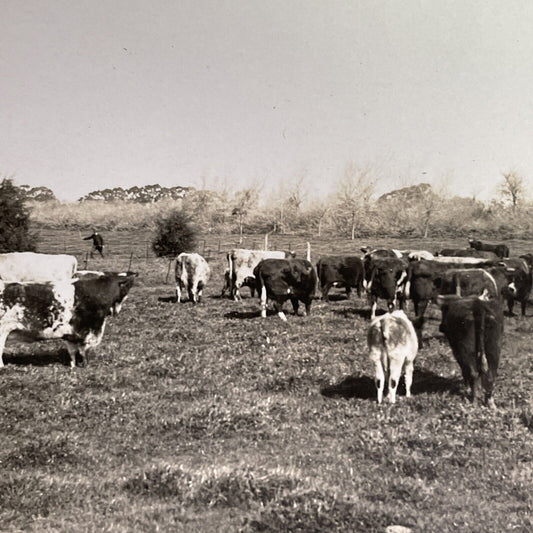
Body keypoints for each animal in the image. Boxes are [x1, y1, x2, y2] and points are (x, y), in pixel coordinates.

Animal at [0, 272, 137, 368]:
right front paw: (85, 366)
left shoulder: (70, 334)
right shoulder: (86, 330)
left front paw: (73, 367)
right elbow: (84, 350)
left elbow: (72, 352)